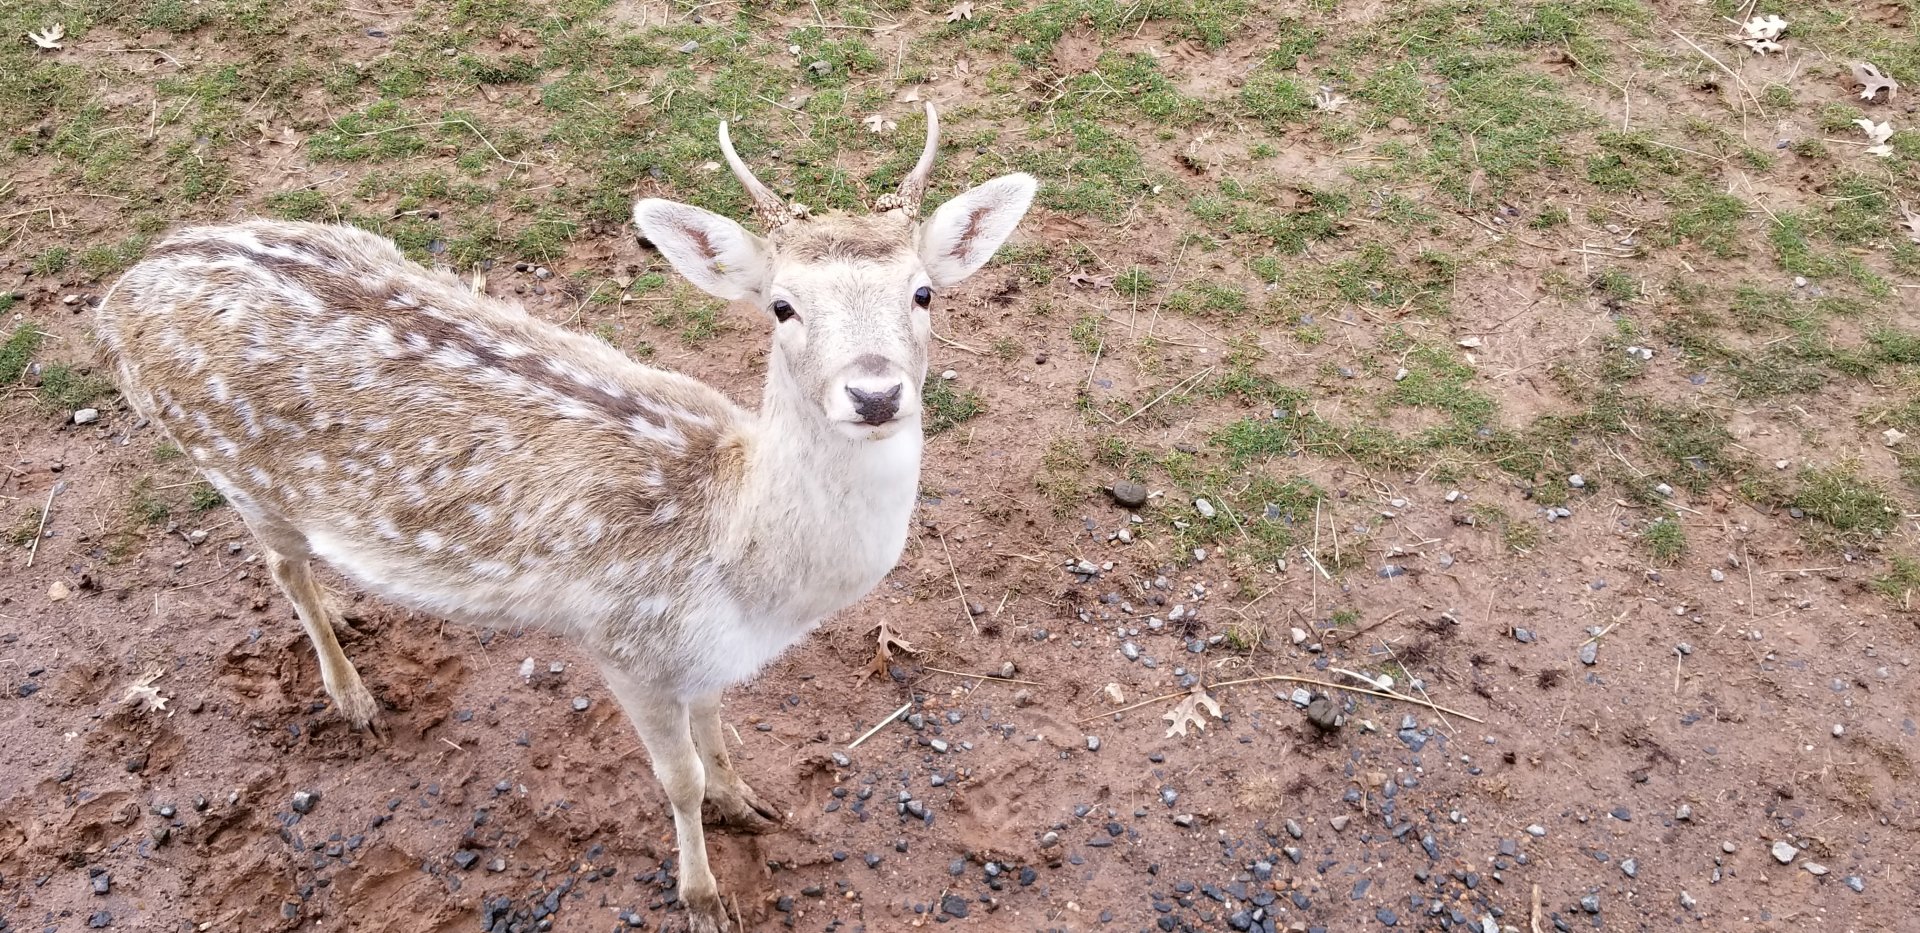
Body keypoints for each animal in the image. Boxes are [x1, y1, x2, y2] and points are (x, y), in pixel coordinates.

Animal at [94, 102, 1035, 933]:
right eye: (782, 304)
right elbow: (678, 781)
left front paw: (748, 802)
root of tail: (128, 284)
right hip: (231, 464)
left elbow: (717, 732)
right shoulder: (624, 645)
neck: (743, 567)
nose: (874, 393)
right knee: (282, 566)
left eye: (923, 292)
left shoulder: (698, 657)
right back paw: (352, 695)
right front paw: (702, 898)